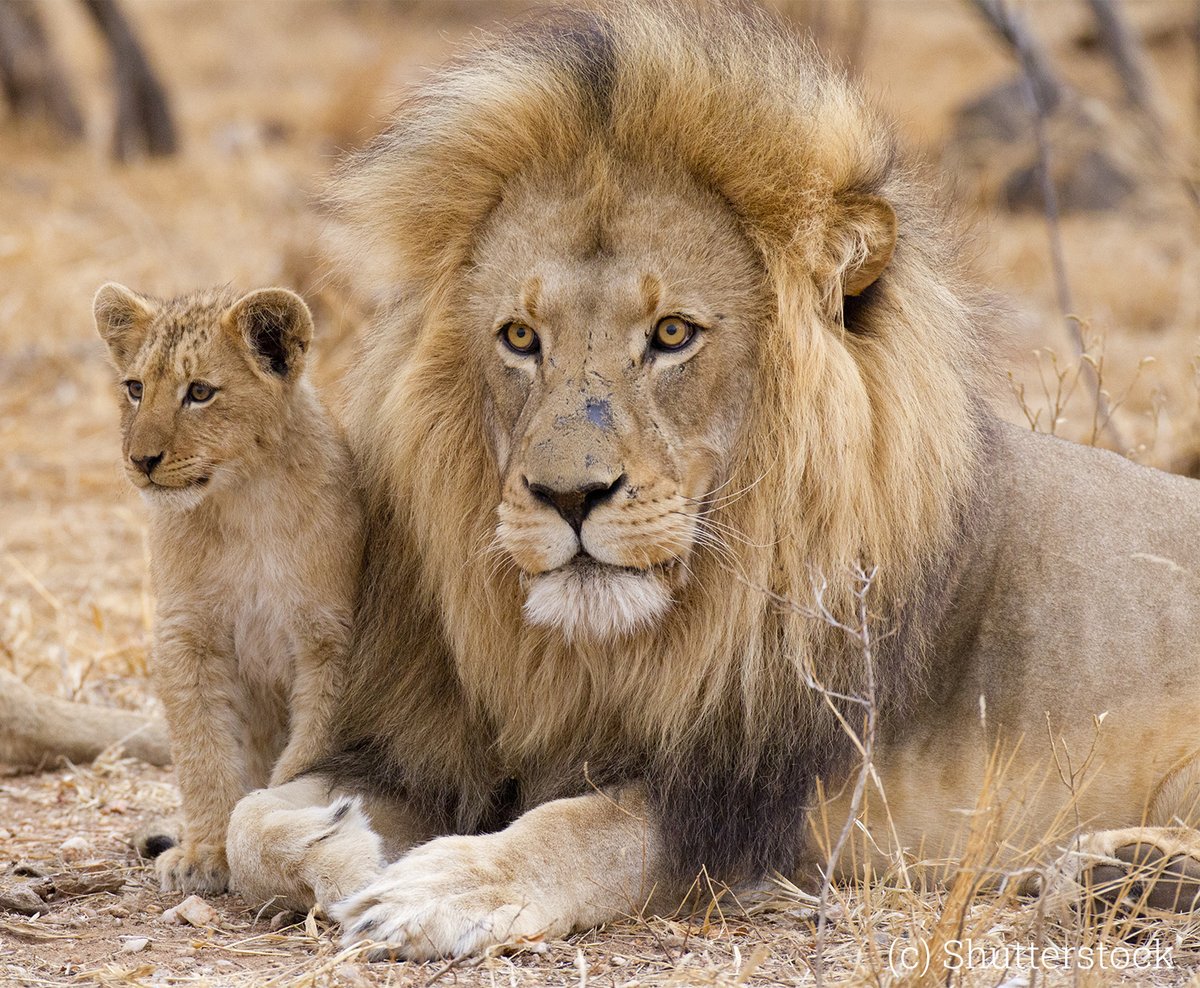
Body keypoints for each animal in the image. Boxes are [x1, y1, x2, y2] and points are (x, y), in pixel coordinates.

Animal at [94, 283, 362, 893]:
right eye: (135, 388)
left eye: (199, 392)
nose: (141, 460)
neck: (244, 503)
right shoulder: (188, 634)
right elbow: (203, 751)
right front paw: (204, 853)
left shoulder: (331, 641)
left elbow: (306, 751)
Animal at [225, 2, 1200, 957]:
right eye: (520, 338)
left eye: (671, 335)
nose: (569, 497)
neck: (606, 654)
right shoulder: (443, 745)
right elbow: (249, 819)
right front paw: (345, 847)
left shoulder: (758, 798)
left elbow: (584, 829)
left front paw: (442, 887)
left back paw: (1119, 870)